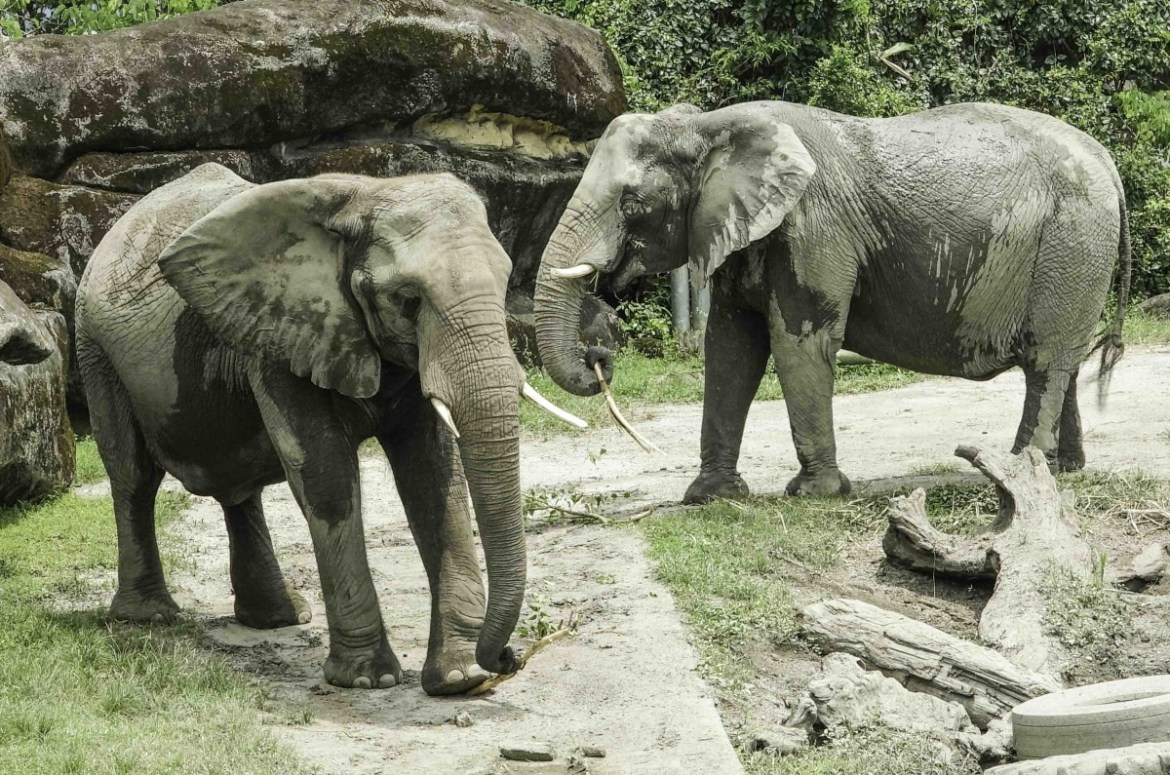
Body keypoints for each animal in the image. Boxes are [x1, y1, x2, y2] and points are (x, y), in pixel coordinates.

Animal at [76, 163, 581, 695]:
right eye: (407, 300)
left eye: (505, 283)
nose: (508, 657)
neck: (367, 195)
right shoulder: (282, 332)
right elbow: (326, 475)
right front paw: (367, 680)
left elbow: (433, 477)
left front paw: (459, 678)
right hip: (95, 348)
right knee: (133, 477)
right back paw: (147, 616)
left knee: (238, 492)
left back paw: (279, 618)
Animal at [534, 101, 1130, 503]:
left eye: (632, 203)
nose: (600, 353)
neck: (708, 126)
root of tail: (1107, 159)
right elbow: (730, 349)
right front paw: (711, 497)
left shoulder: (812, 230)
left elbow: (798, 342)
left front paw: (814, 495)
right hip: (1075, 251)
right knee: (1059, 361)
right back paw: (1065, 469)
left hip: (1071, 240)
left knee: (1046, 361)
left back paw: (1018, 473)